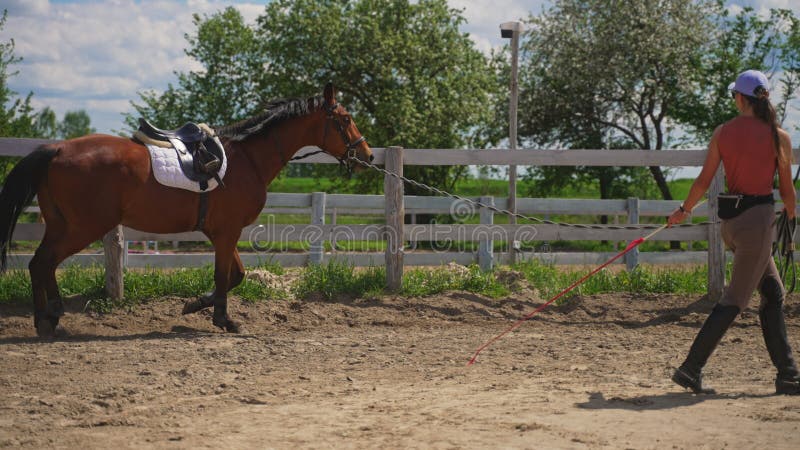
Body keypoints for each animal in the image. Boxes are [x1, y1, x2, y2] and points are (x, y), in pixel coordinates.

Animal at [0, 82, 374, 336]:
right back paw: (47, 319)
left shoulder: (222, 232)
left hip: (60, 224)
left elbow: (236, 275)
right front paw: (223, 318)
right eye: (345, 119)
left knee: (40, 263)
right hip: (83, 227)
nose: (367, 155)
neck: (247, 159)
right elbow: (224, 276)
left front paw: (195, 304)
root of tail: (58, 149)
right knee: (44, 263)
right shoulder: (227, 232)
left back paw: (48, 317)